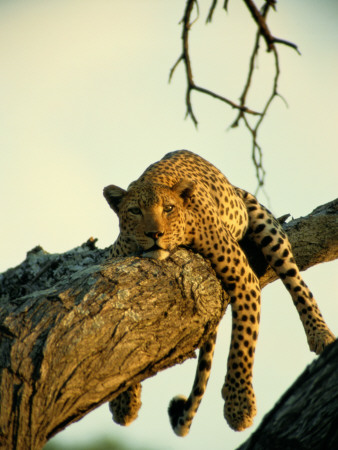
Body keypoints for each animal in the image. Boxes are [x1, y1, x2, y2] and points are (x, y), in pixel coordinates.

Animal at [103, 150, 336, 436]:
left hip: (267, 227)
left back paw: (320, 333)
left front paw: (239, 406)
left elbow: (243, 343)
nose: (154, 233)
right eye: (135, 211)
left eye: (168, 209)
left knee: (297, 284)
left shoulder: (243, 277)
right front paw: (124, 400)